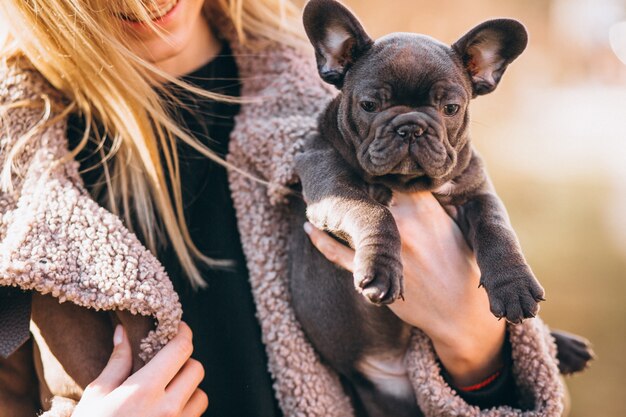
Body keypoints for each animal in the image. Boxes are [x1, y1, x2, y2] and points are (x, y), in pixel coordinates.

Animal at [288, 1, 588, 414]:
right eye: (369, 105)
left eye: (450, 107)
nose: (411, 127)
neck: (407, 184)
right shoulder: (330, 185)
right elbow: (373, 211)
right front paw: (381, 267)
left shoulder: (476, 190)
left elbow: (496, 227)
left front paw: (514, 285)